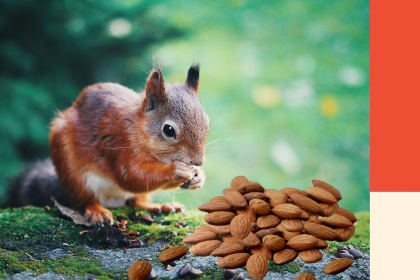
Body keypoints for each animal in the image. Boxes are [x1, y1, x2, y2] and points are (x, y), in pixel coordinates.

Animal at [1, 64, 208, 228]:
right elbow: (132, 176)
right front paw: (177, 169)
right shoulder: (121, 144)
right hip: (74, 173)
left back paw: (161, 206)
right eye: (169, 130)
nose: (198, 161)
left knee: (135, 202)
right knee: (86, 199)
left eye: (206, 122)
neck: (138, 127)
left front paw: (199, 177)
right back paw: (97, 211)